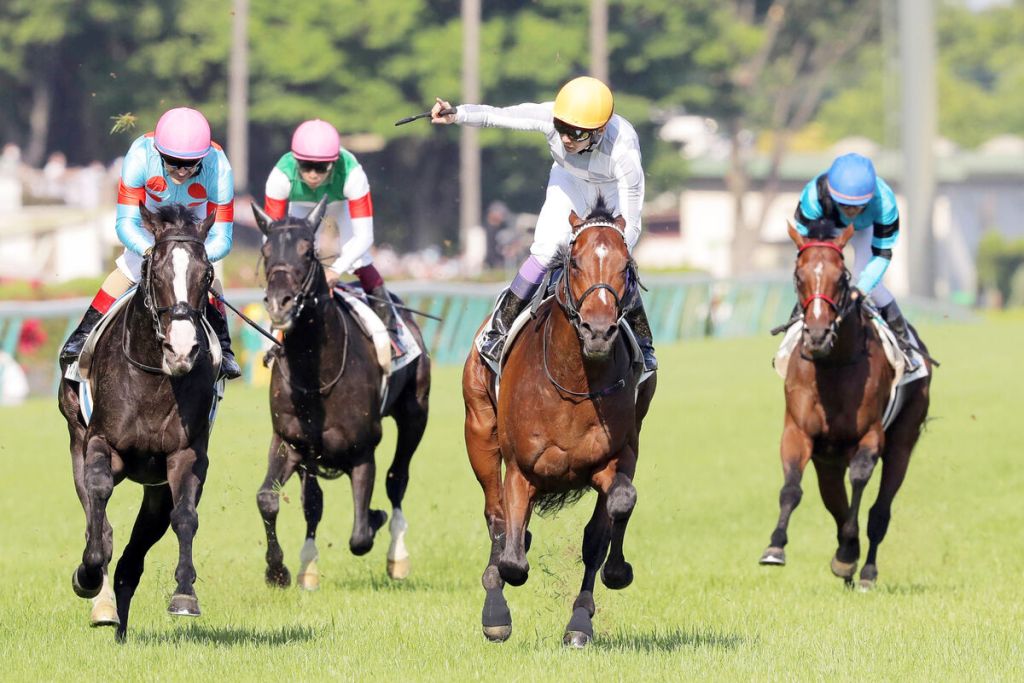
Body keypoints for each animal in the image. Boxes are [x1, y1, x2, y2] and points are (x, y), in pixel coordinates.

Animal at [57, 203, 220, 642]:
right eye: (156, 271)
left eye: (206, 274)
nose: (181, 349)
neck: (155, 377)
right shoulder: (101, 443)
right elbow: (98, 515)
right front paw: (87, 576)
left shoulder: (185, 454)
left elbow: (186, 517)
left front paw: (184, 595)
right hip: (76, 438)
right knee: (98, 522)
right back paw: (103, 604)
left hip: (155, 489)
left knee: (133, 558)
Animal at [251, 197, 430, 588]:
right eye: (266, 251)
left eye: (307, 251)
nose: (279, 302)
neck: (316, 375)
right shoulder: (290, 443)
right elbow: (270, 499)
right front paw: (278, 571)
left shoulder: (363, 451)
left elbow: (361, 535)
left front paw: (375, 518)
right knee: (312, 502)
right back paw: (308, 565)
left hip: (415, 414)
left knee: (397, 479)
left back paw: (397, 555)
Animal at [463, 207, 657, 648]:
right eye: (575, 263)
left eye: (627, 266)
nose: (598, 331)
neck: (574, 381)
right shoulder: (521, 468)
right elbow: (513, 558)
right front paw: (501, 596)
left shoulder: (616, 457)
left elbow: (614, 513)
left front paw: (600, 594)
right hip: (479, 433)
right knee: (496, 517)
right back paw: (495, 611)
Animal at [759, 220, 932, 590]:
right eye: (798, 276)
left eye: (841, 278)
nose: (818, 334)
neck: (833, 365)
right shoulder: (798, 432)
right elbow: (791, 489)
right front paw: (775, 547)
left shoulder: (869, 435)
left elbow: (860, 479)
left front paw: (848, 555)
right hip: (828, 460)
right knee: (833, 501)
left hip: (903, 440)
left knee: (880, 510)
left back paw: (865, 570)